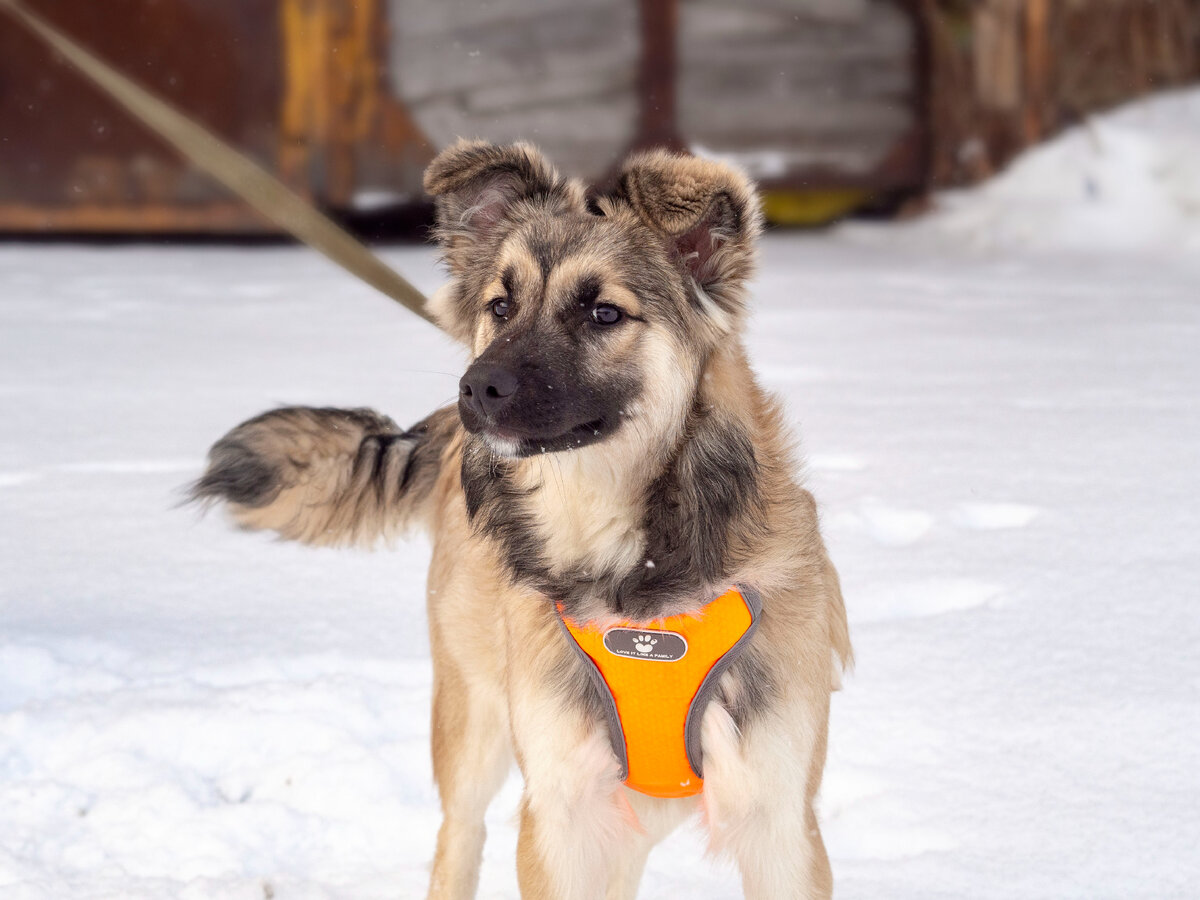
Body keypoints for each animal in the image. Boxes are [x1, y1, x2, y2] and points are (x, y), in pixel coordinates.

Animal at [192, 142, 849, 900]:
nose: (477, 387)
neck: (629, 568)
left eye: (603, 313)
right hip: (472, 721)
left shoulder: (780, 820)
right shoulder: (563, 814)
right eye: (500, 306)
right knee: (458, 835)